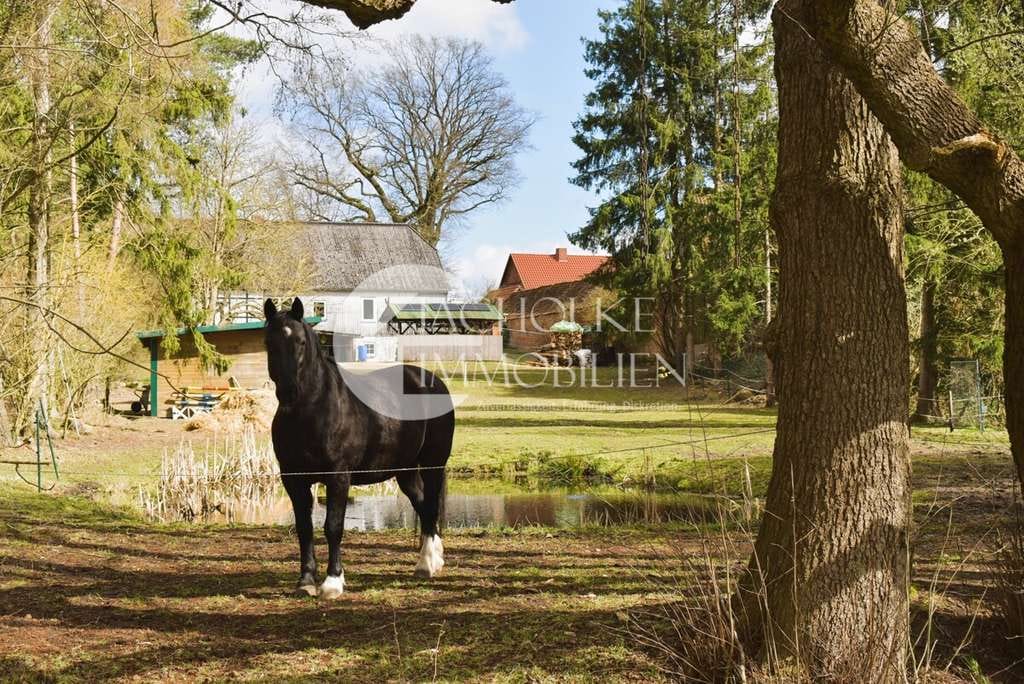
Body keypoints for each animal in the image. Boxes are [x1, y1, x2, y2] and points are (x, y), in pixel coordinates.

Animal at [263, 297, 455, 599]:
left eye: (301, 342)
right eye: (269, 342)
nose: (289, 392)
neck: (313, 411)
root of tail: (433, 382)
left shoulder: (338, 477)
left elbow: (333, 527)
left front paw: (332, 582)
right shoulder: (294, 479)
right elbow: (305, 528)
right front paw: (306, 581)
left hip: (433, 464)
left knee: (431, 507)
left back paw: (428, 564)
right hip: (406, 471)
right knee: (423, 506)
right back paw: (430, 561)